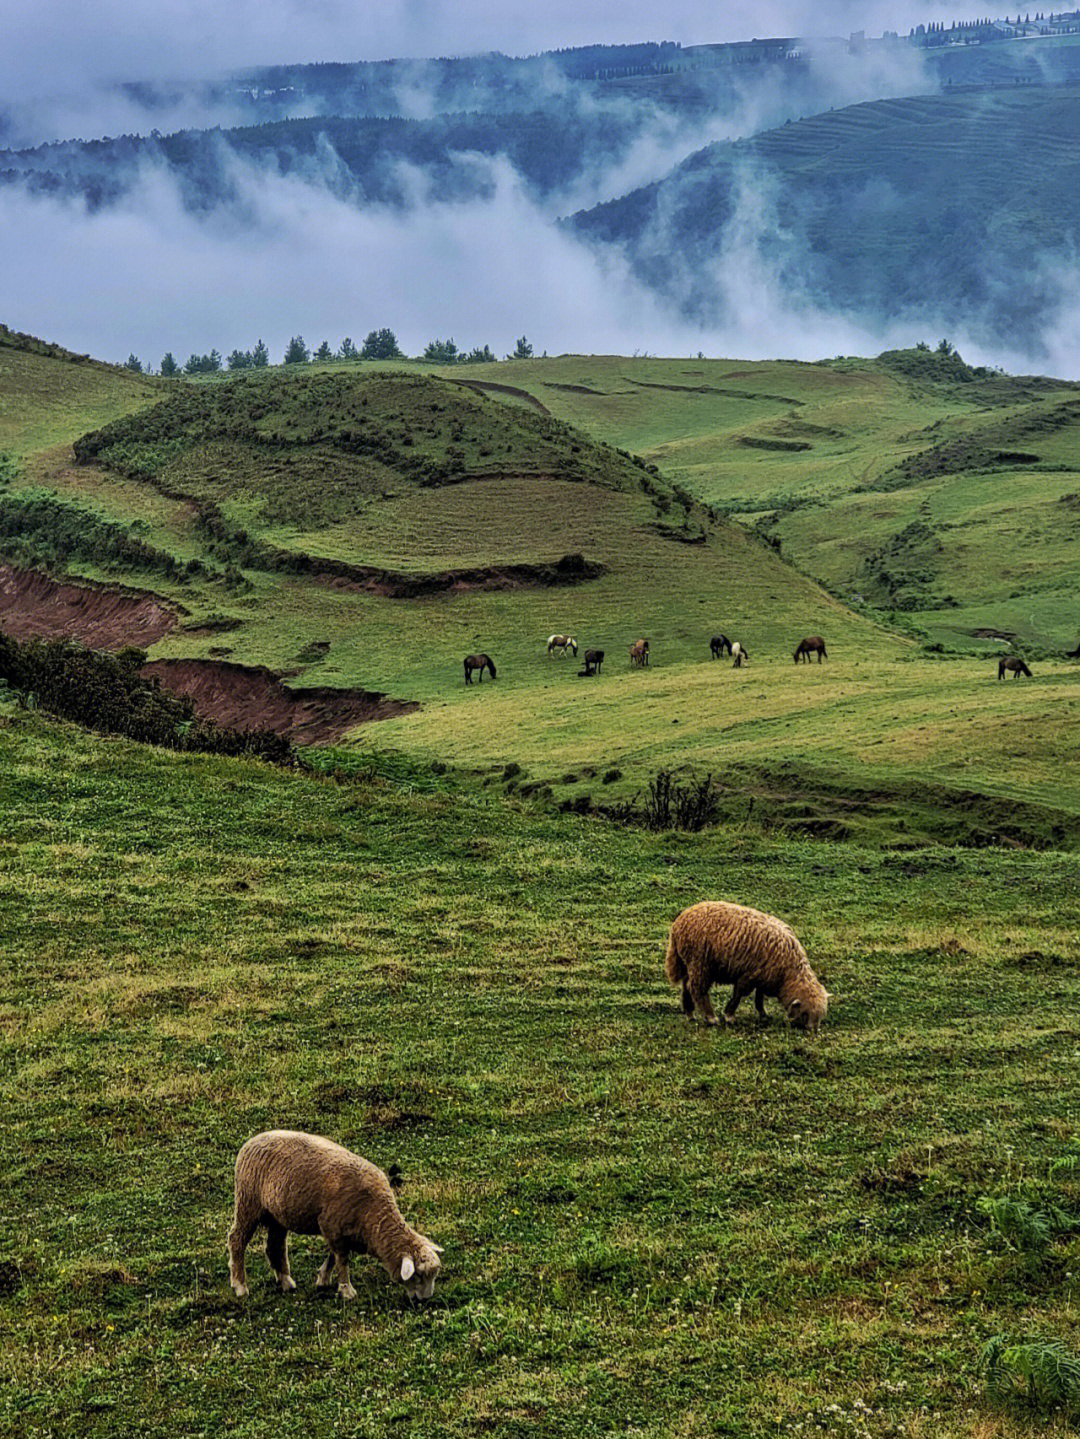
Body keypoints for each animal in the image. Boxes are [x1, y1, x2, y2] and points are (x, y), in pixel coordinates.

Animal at [228, 1133, 442, 1306]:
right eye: (419, 1276)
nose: (425, 1300)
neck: (374, 1215)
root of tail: (251, 1141)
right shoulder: (332, 1226)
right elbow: (342, 1259)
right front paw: (346, 1289)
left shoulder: (339, 1229)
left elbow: (333, 1256)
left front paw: (323, 1279)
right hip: (248, 1203)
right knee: (236, 1240)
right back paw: (240, 1285)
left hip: (276, 1215)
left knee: (275, 1246)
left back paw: (285, 1281)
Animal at [664, 897, 834, 1036]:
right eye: (805, 1014)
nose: (813, 1031)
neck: (787, 974)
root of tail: (678, 923)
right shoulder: (748, 976)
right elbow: (739, 995)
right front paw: (729, 1015)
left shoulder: (763, 977)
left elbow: (759, 997)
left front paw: (763, 1014)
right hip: (700, 963)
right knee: (697, 988)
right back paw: (710, 1017)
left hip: (689, 963)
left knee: (686, 985)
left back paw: (690, 1014)